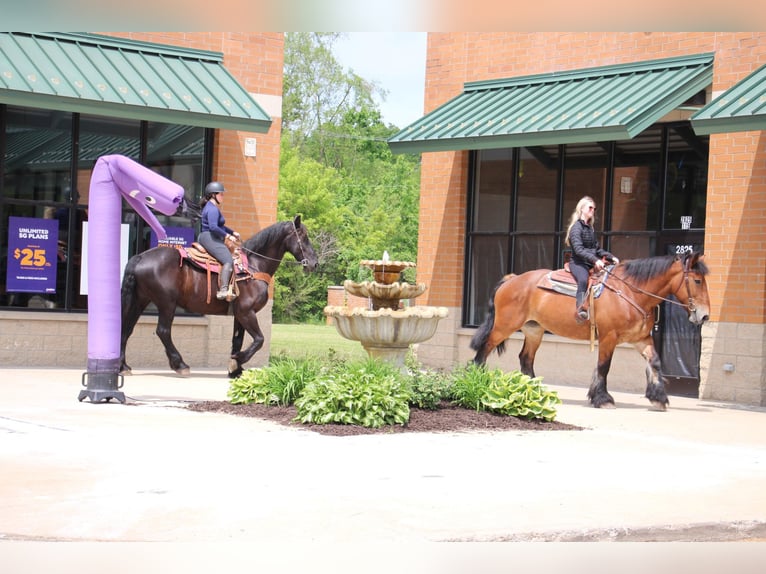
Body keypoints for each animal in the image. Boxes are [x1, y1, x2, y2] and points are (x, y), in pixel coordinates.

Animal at [120, 216, 318, 378]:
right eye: (304, 237)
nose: (315, 264)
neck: (253, 267)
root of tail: (140, 257)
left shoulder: (240, 314)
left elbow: (238, 340)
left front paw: (236, 369)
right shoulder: (247, 312)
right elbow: (259, 340)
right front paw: (237, 361)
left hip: (140, 301)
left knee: (126, 328)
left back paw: (124, 366)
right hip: (166, 303)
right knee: (163, 331)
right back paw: (180, 364)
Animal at [474, 254, 712, 412]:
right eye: (697, 280)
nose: (704, 316)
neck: (630, 292)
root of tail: (512, 279)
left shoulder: (641, 339)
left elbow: (654, 362)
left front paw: (658, 397)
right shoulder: (609, 337)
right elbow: (604, 367)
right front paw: (602, 398)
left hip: (534, 330)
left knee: (526, 359)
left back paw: (535, 390)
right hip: (503, 327)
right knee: (484, 350)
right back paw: (476, 381)